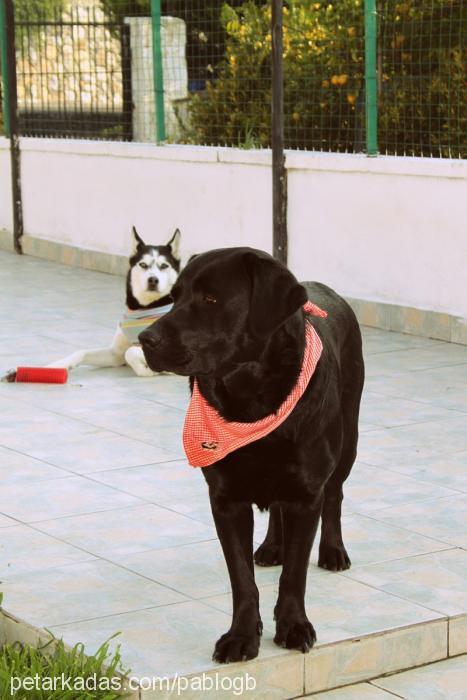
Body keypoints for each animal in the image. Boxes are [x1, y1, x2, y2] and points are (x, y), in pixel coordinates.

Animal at [49, 228, 181, 378]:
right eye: (143, 264)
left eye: (164, 266)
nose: (153, 280)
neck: (146, 307)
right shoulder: (115, 354)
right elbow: (82, 352)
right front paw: (58, 365)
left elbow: (131, 352)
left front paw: (147, 370)